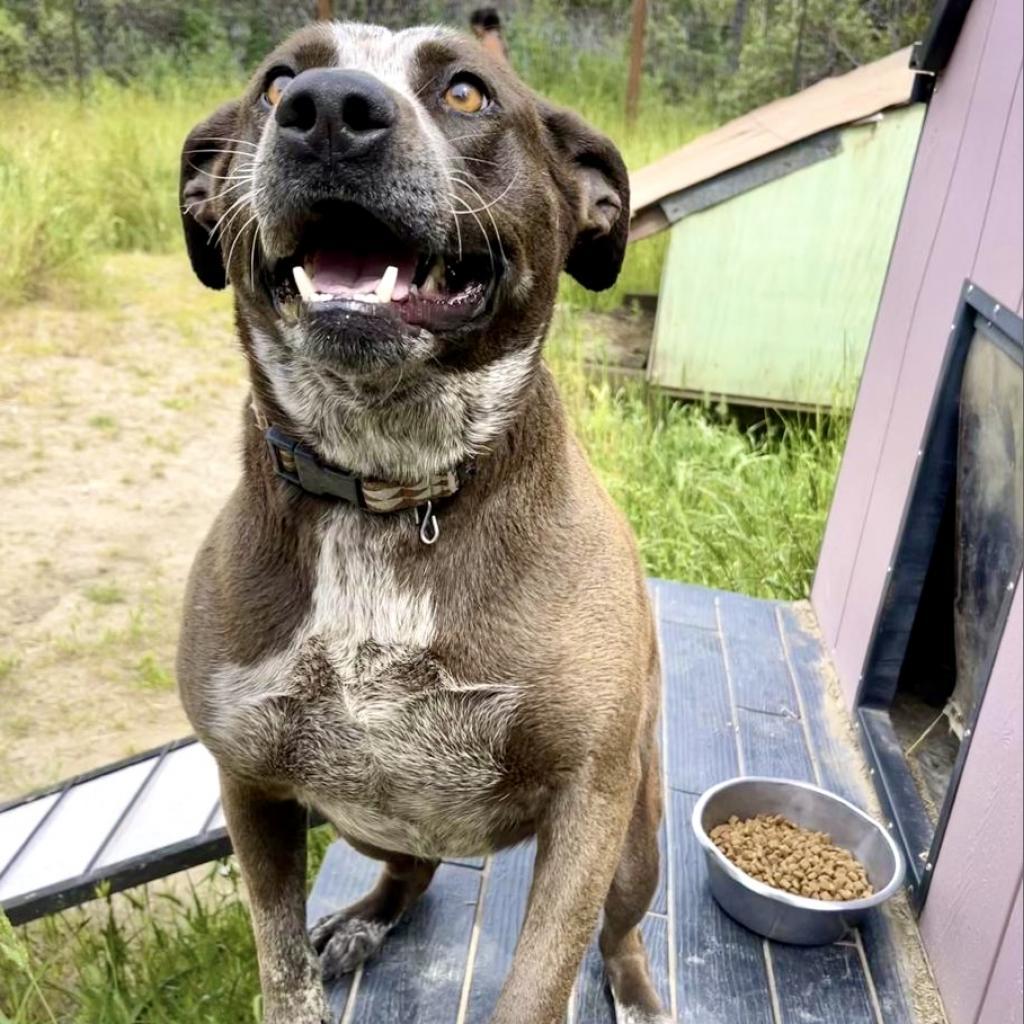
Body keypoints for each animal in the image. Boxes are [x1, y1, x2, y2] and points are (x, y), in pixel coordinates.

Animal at [174, 18, 671, 1024]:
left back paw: (637, 992)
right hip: (362, 817)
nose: (327, 109)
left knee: (620, 929)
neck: (391, 487)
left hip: (635, 842)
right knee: (416, 869)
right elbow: (281, 971)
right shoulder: (251, 787)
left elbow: (539, 985)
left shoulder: (587, 806)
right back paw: (366, 919)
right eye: (275, 81)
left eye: (468, 92)